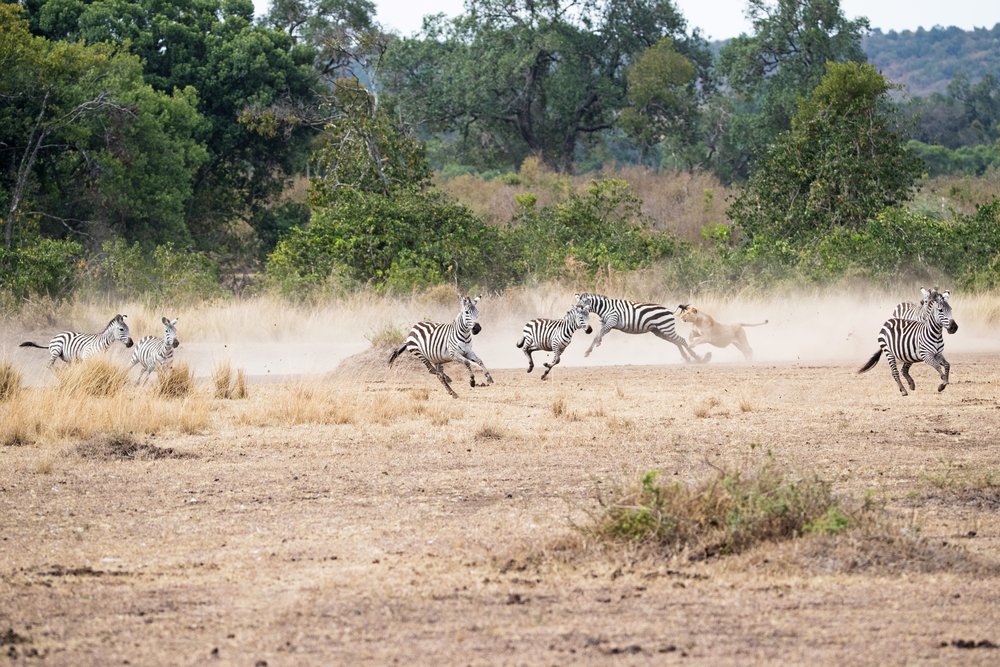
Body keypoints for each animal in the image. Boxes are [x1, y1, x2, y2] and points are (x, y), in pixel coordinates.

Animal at [576, 294, 708, 362]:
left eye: (581, 306)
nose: (575, 310)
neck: (604, 308)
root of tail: (669, 310)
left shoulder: (612, 321)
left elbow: (598, 334)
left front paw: (589, 350)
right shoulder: (607, 324)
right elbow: (598, 335)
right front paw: (594, 346)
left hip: (666, 328)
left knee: (682, 340)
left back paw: (697, 358)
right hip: (659, 331)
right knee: (676, 342)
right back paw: (688, 358)